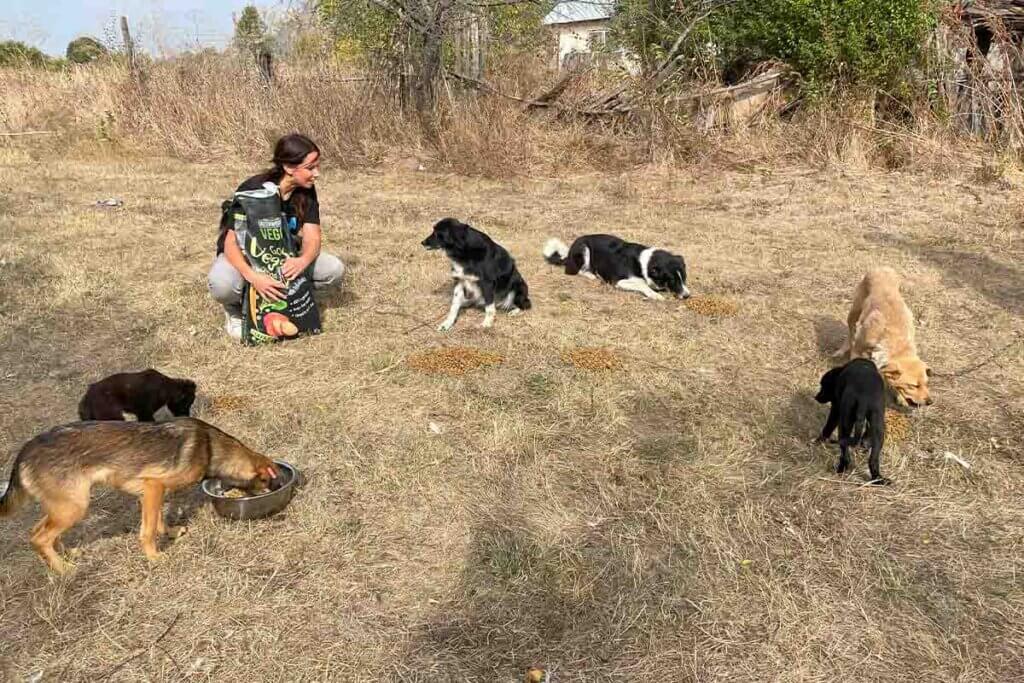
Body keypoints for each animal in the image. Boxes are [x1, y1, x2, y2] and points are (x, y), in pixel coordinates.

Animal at [540, 233, 692, 301]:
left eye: (684, 278)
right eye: (672, 280)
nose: (687, 296)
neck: (645, 264)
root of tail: (568, 255)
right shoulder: (619, 281)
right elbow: (642, 285)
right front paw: (655, 294)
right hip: (584, 249)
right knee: (577, 271)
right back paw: (591, 275)